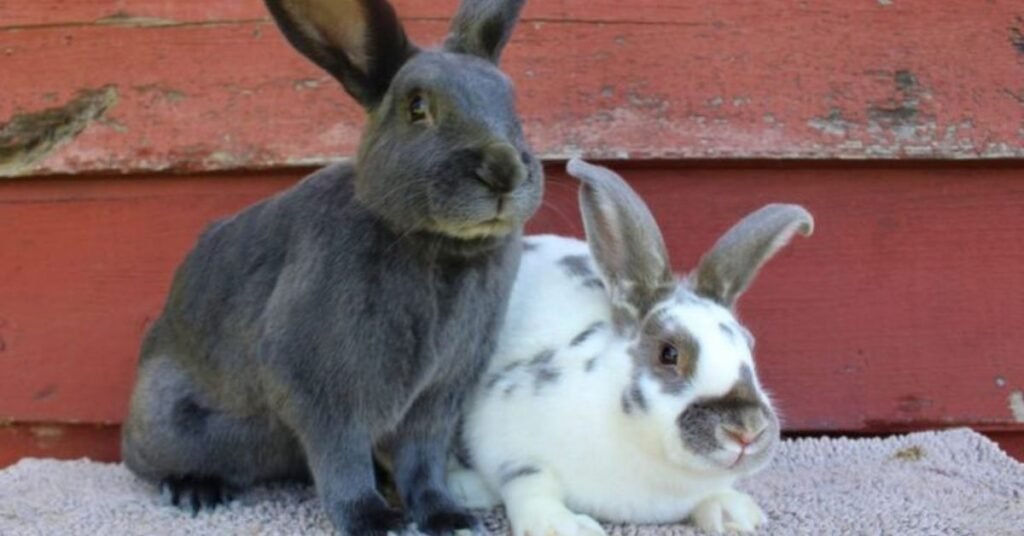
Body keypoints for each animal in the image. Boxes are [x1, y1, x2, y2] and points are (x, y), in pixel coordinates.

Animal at [120, 0, 542, 534]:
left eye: (512, 104)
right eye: (417, 107)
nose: (505, 171)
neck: (436, 248)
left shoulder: (437, 399)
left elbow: (423, 462)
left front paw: (448, 517)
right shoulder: (322, 392)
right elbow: (342, 461)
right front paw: (375, 521)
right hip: (172, 424)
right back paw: (195, 490)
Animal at [447, 159, 813, 535]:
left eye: (749, 344)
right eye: (669, 353)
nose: (746, 431)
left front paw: (735, 514)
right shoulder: (506, 437)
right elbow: (530, 483)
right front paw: (562, 526)